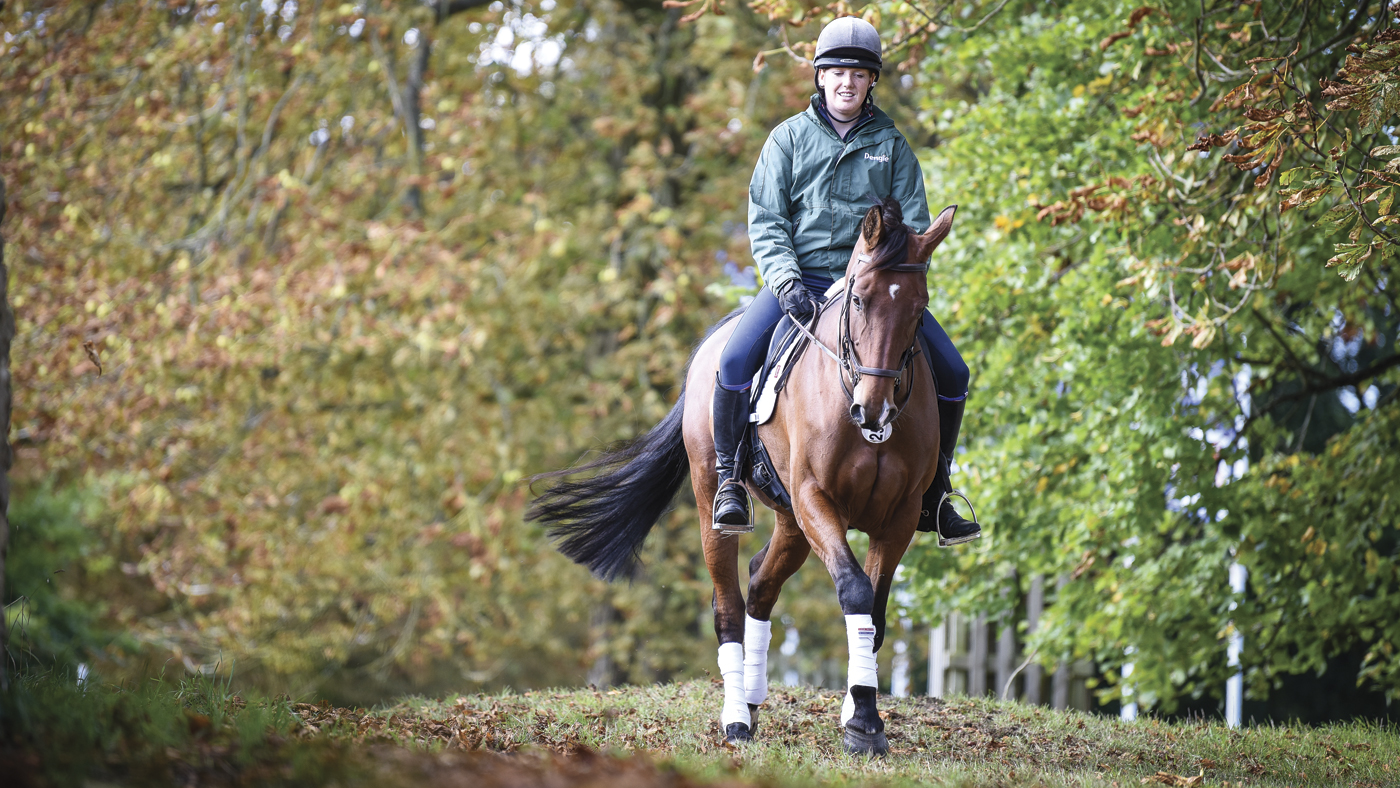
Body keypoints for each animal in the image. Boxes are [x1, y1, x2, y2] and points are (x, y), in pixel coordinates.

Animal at [529, 197, 957, 756]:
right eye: (861, 301)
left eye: (919, 309)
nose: (874, 410)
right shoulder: (817, 499)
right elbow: (855, 590)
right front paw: (863, 721)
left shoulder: (899, 517)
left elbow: (877, 612)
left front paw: (857, 711)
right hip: (720, 502)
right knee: (729, 605)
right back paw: (736, 717)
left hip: (793, 524)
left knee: (759, 584)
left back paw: (753, 699)